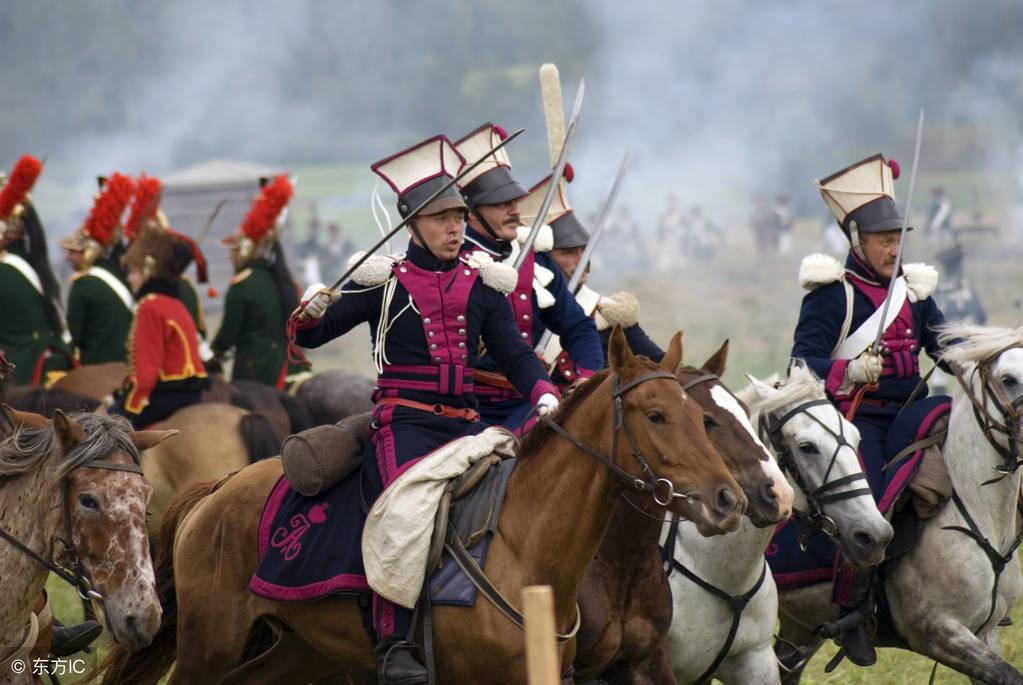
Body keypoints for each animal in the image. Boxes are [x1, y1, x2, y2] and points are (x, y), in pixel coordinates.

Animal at [92, 329, 748, 682]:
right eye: (657, 415)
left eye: (701, 419)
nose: (730, 499)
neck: (525, 549)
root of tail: (217, 491)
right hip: (209, 646)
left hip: (302, 648)